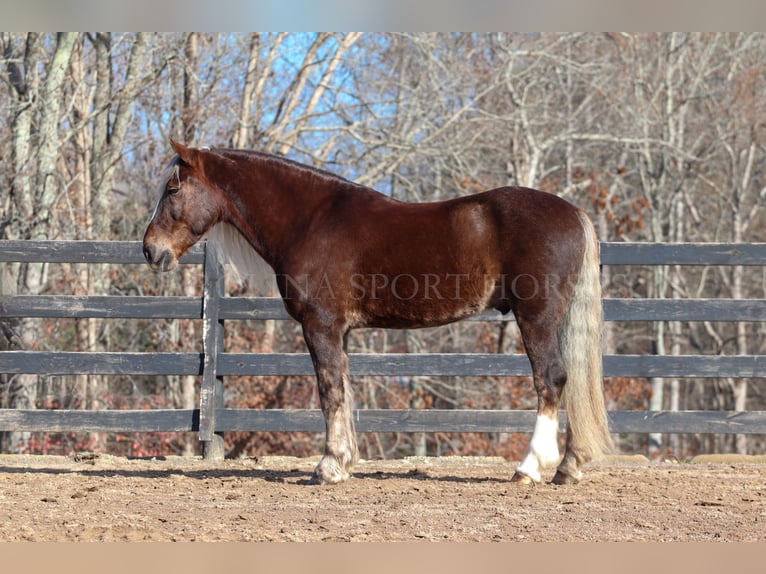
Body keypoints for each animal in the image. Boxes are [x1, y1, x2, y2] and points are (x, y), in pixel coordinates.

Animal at [142, 140, 612, 486]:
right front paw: (345, 461)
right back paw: (569, 468)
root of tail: (574, 213)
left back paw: (530, 468)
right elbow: (345, 390)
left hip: (537, 318)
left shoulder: (321, 326)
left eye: (173, 189)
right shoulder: (341, 332)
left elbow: (330, 391)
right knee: (570, 381)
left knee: (551, 379)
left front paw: (329, 467)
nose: (150, 250)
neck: (311, 220)